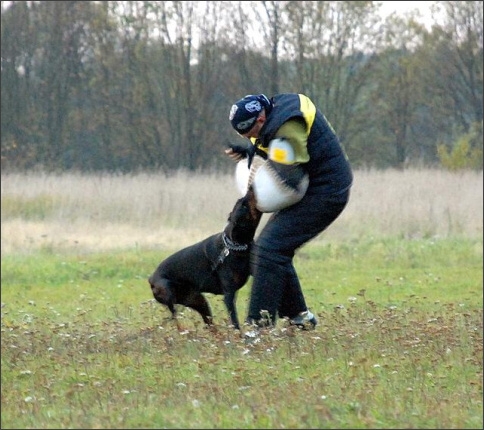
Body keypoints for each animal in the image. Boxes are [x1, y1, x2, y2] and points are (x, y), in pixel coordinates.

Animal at [148, 186, 262, 330]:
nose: (251, 187)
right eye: (243, 205)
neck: (236, 246)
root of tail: (150, 278)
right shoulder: (229, 293)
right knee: (175, 317)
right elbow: (235, 321)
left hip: (199, 301)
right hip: (168, 293)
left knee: (208, 323)